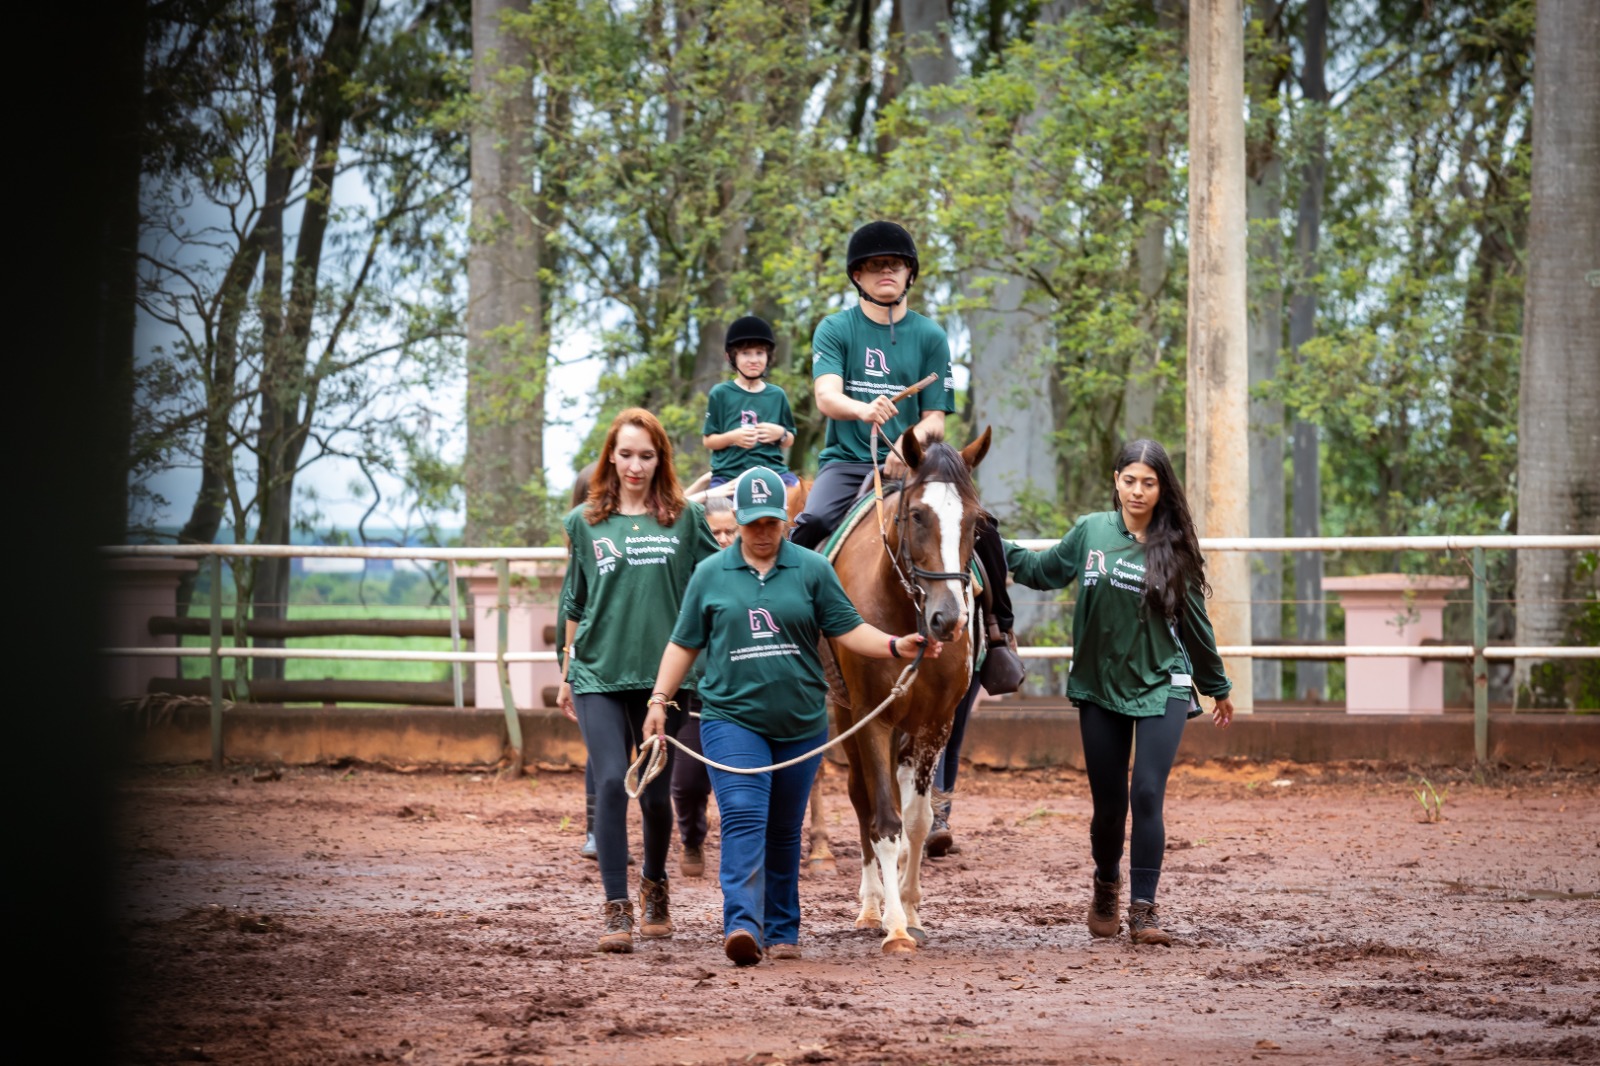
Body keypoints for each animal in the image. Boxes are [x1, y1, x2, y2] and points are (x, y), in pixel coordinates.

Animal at [825, 428, 991, 952]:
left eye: (976, 521)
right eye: (917, 514)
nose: (949, 619)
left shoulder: (936, 722)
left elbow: (916, 823)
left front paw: (913, 909)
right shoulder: (871, 717)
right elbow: (882, 819)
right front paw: (895, 925)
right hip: (844, 717)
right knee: (861, 801)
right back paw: (871, 906)